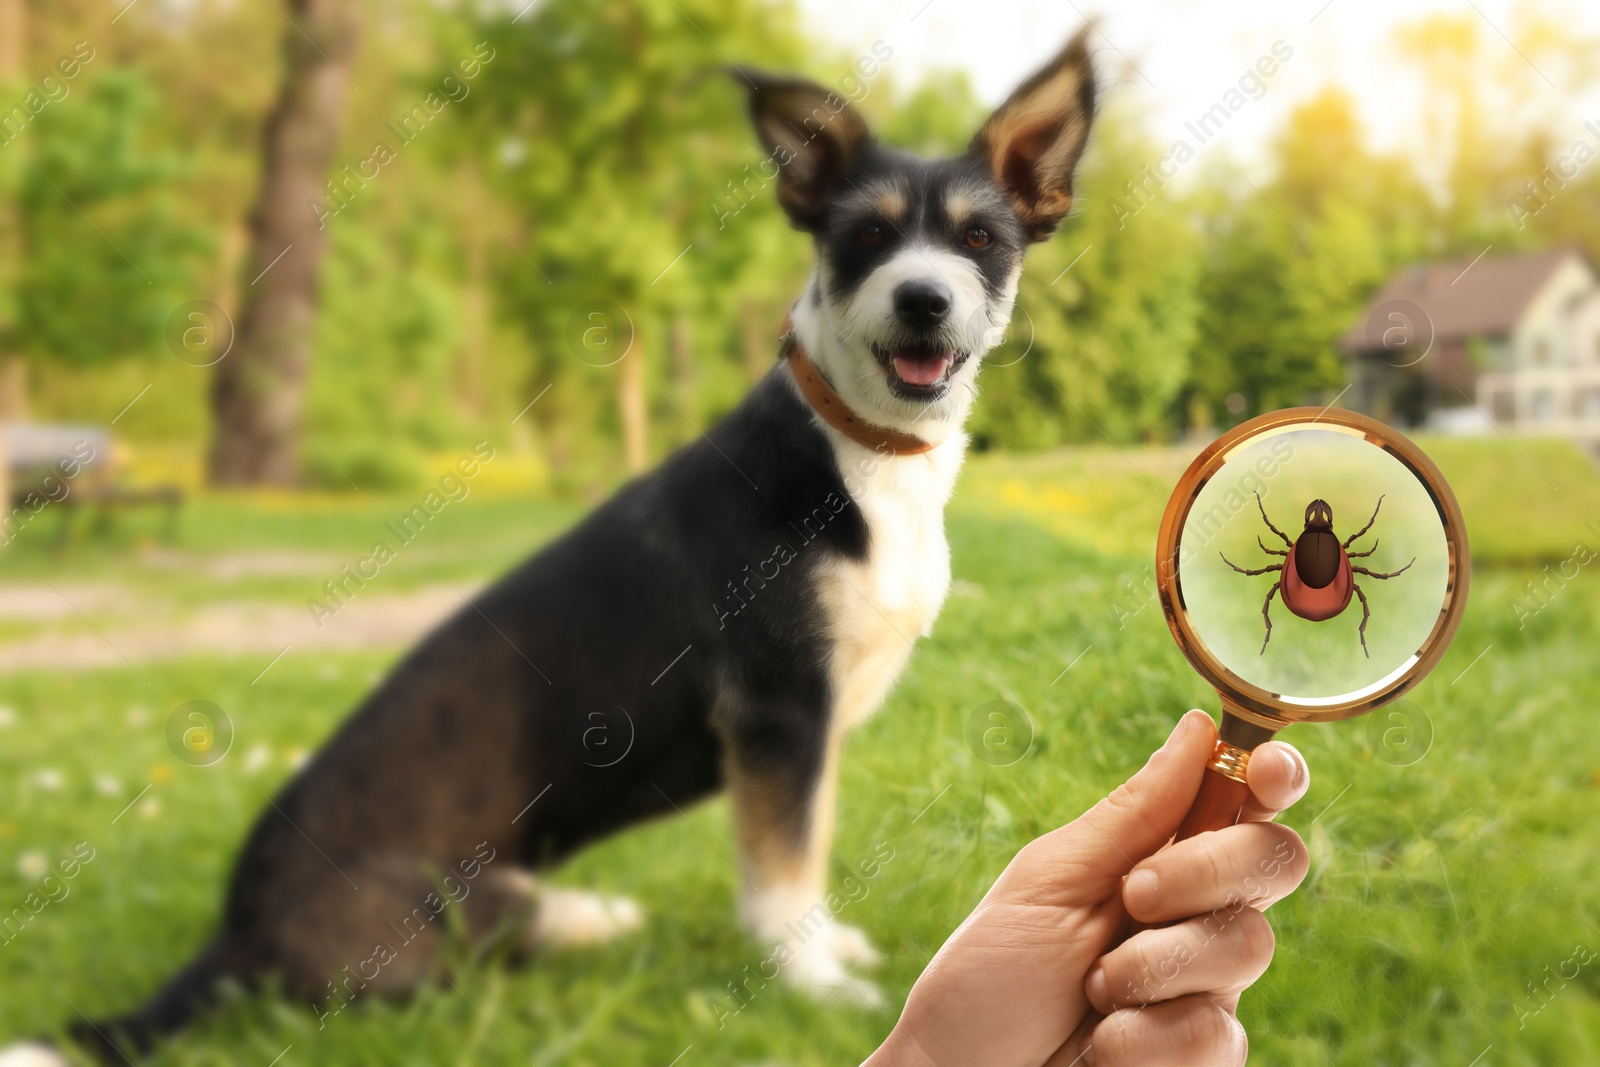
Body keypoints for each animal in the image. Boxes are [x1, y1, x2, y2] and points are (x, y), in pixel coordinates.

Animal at [0, 27, 1100, 1067]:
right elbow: (782, 873)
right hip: (431, 925)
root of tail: (234, 935)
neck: (859, 455)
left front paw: (829, 950)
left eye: (981, 237)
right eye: (866, 234)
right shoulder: (779, 712)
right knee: (483, 948)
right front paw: (816, 982)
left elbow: (807, 854)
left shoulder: (805, 733)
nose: (923, 299)